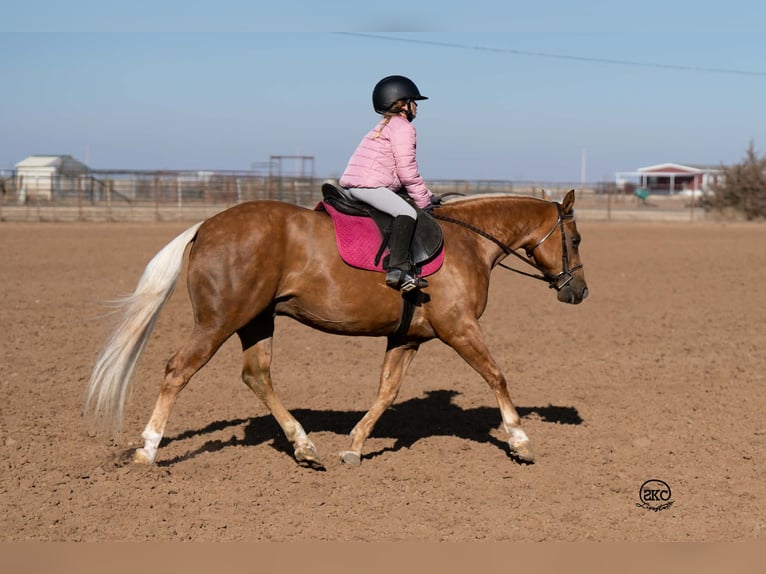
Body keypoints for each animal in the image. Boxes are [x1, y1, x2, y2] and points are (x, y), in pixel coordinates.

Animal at [85, 189, 588, 468]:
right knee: (178, 370)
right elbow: (496, 376)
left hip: (256, 320)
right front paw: (520, 440)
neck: (468, 241)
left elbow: (387, 391)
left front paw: (356, 445)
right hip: (220, 320)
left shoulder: (407, 337)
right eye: (576, 238)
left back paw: (306, 447)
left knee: (256, 375)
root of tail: (205, 226)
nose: (579, 291)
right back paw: (148, 450)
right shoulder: (458, 328)